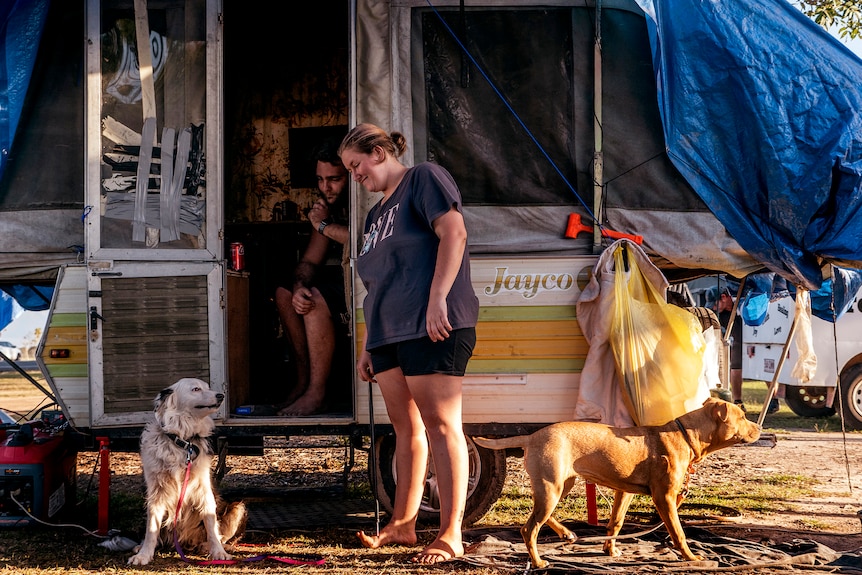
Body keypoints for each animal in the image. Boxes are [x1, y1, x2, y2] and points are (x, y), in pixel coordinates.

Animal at [130, 378, 248, 568]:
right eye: (196, 389)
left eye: (208, 387)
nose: (221, 395)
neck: (183, 442)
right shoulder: (156, 492)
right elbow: (151, 528)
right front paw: (144, 554)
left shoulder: (204, 490)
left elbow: (211, 524)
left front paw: (218, 552)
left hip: (238, 507)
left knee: (221, 535)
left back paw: (208, 546)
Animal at [472, 398, 764, 568]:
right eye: (742, 417)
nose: (760, 428)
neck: (684, 435)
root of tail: (532, 437)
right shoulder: (665, 497)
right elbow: (678, 532)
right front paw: (690, 558)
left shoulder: (625, 492)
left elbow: (616, 522)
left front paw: (609, 550)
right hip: (551, 487)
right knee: (529, 528)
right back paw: (539, 562)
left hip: (560, 485)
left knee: (540, 516)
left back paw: (566, 534)